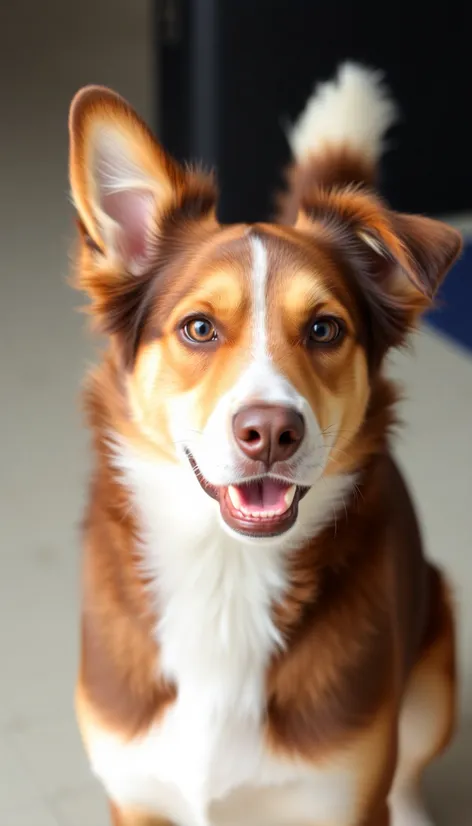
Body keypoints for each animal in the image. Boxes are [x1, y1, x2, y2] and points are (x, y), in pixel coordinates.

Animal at [69, 61, 460, 820]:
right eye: (198, 328)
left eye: (324, 329)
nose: (271, 433)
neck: (227, 573)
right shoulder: (133, 793)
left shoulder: (344, 795)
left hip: (434, 670)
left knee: (409, 774)